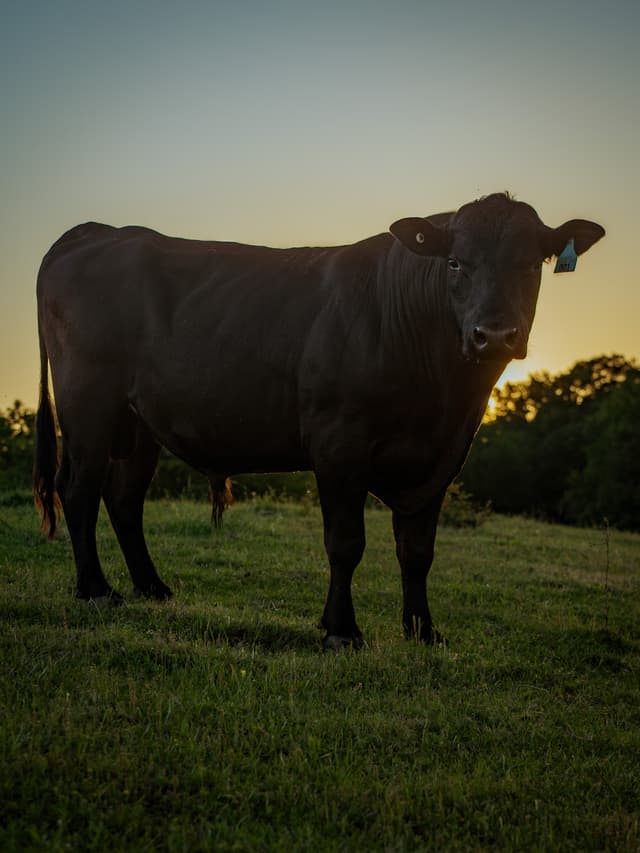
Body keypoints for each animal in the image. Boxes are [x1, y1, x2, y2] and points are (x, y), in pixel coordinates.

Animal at [33, 193, 604, 648]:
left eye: (533, 264)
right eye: (455, 263)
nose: (495, 334)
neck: (444, 397)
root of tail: (98, 231)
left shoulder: (441, 459)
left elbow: (417, 550)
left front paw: (423, 630)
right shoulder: (339, 445)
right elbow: (346, 543)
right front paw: (341, 630)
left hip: (139, 423)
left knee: (124, 498)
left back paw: (152, 587)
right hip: (88, 403)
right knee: (78, 487)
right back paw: (96, 590)